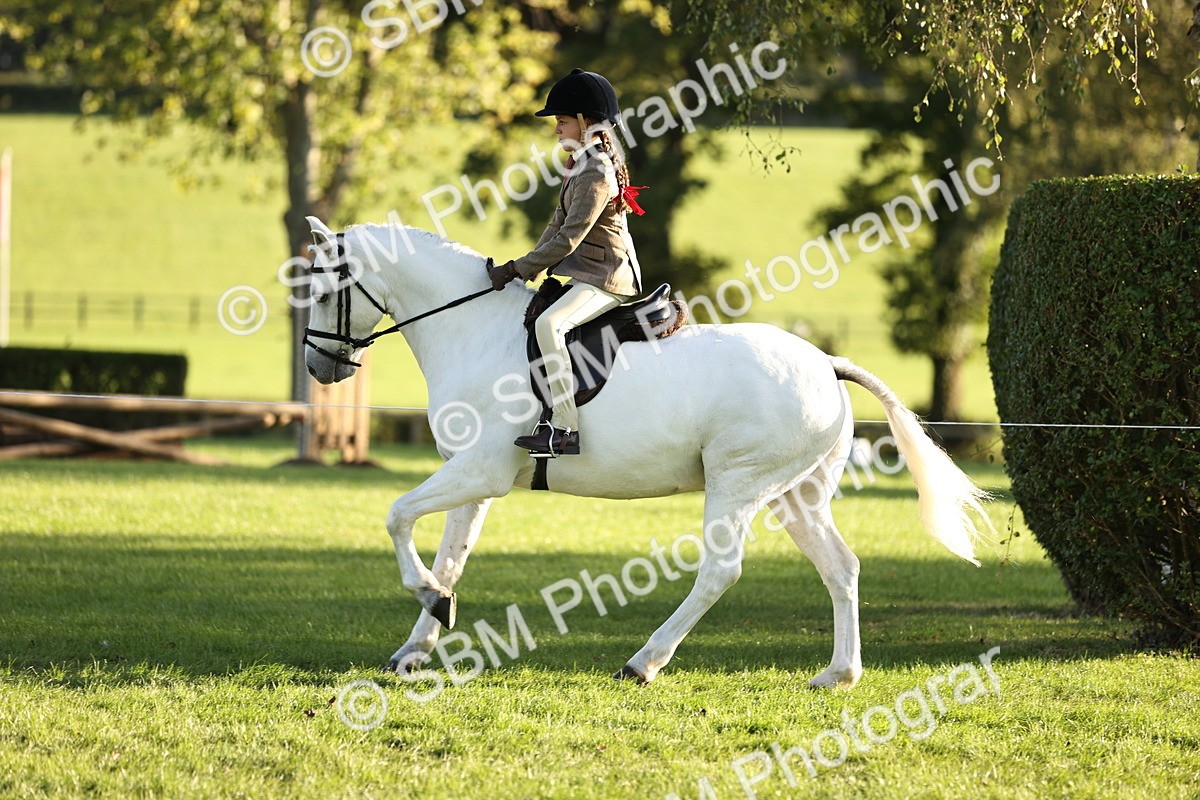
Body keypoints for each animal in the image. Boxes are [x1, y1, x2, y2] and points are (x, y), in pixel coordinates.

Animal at [300, 215, 992, 688]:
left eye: (324, 290)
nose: (319, 366)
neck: (472, 330)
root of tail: (826, 362)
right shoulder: (471, 480)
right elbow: (450, 559)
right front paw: (422, 634)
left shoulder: (479, 472)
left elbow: (396, 516)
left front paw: (429, 603)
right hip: (797, 495)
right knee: (841, 568)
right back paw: (838, 675)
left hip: (738, 484)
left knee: (721, 571)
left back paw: (644, 662)